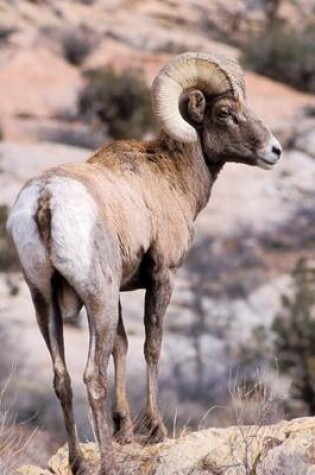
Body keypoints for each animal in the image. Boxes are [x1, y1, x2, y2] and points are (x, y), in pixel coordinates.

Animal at [7, 50, 282, 474]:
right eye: (224, 112)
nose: (274, 151)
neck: (170, 178)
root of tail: (46, 199)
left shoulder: (120, 291)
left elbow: (121, 346)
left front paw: (126, 430)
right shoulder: (162, 275)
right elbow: (152, 345)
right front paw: (155, 429)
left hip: (45, 302)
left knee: (62, 379)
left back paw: (79, 462)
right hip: (98, 299)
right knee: (92, 377)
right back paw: (106, 463)